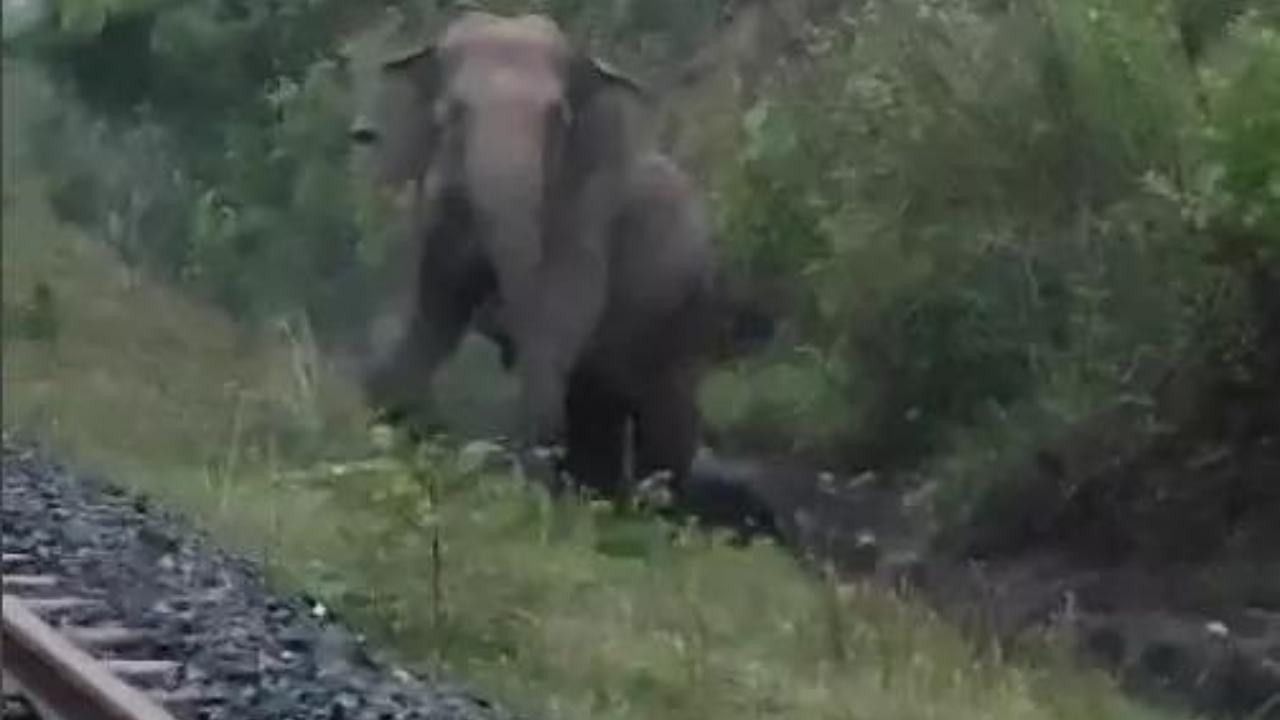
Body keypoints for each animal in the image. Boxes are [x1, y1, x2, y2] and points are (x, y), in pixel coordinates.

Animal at [350, 10, 719, 501]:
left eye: (556, 118)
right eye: (454, 113)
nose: (497, 315)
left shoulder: (587, 205)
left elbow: (562, 310)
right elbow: (434, 307)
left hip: (684, 322)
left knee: (664, 421)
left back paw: (645, 504)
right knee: (596, 413)